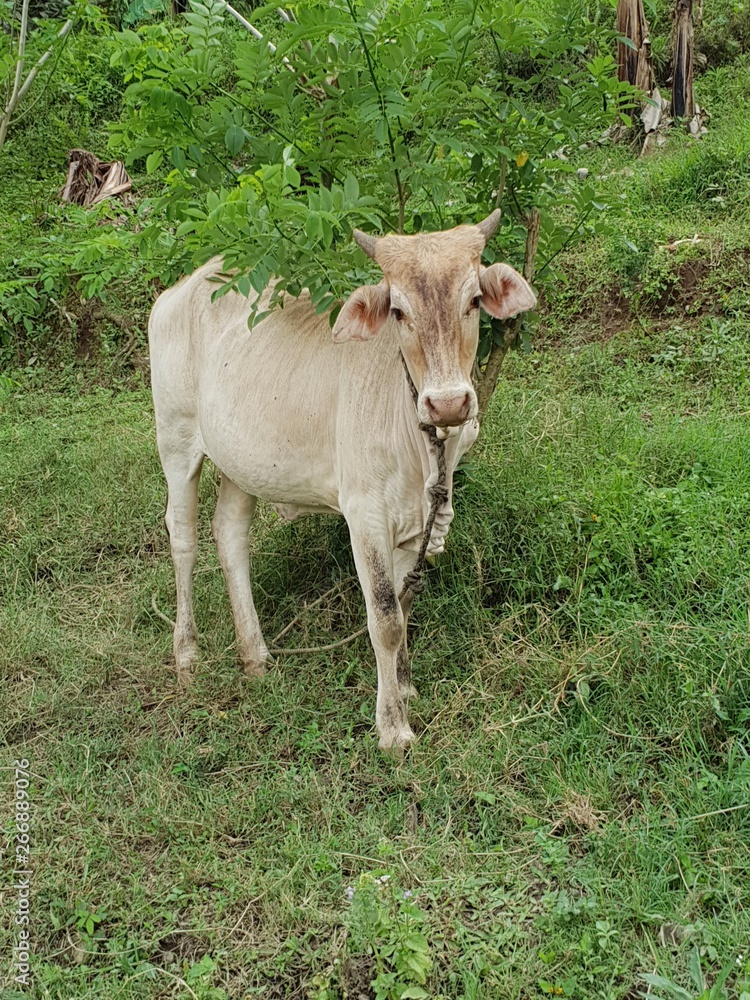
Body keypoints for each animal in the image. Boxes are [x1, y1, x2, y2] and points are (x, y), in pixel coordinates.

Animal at [149, 210, 536, 750]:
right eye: (398, 311)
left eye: (474, 301)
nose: (449, 403)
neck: (423, 442)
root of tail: (182, 287)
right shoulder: (365, 513)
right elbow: (385, 617)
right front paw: (393, 728)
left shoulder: (416, 521)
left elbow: (404, 604)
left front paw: (406, 687)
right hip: (176, 438)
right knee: (183, 538)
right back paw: (187, 655)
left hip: (241, 463)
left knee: (229, 536)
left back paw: (255, 655)